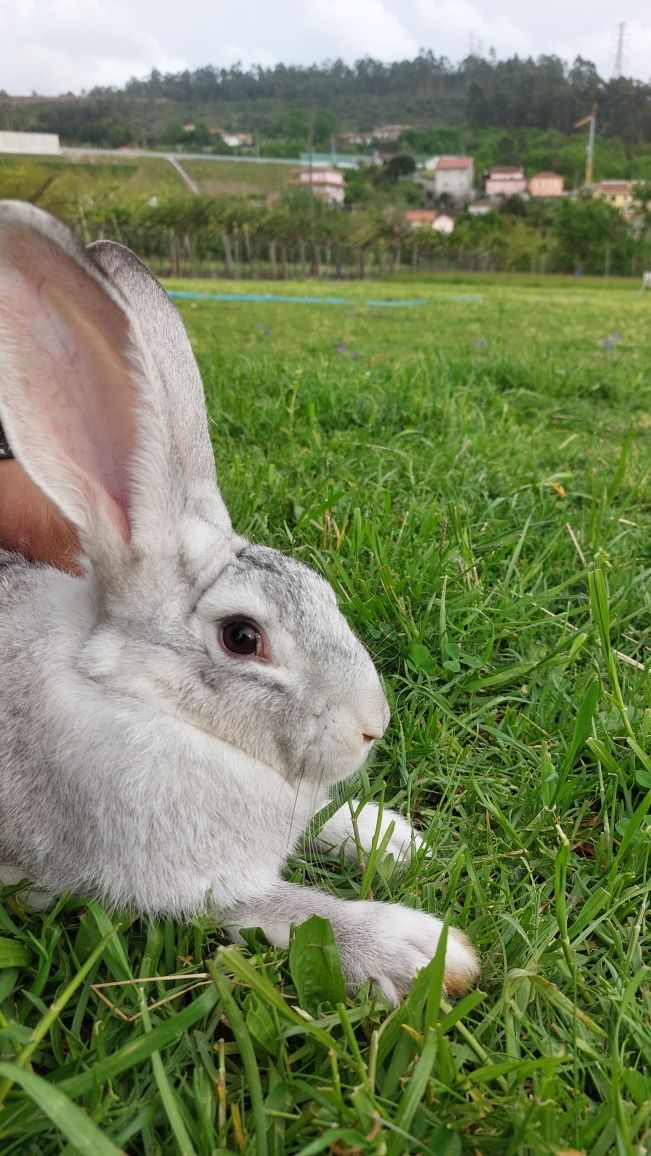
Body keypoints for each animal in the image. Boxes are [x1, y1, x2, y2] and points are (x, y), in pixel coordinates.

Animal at [0, 201, 478, 1003]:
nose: (371, 727)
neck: (145, 698)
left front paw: (391, 836)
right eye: (242, 638)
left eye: (320, 590)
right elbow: (294, 908)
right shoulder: (190, 883)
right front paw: (423, 952)